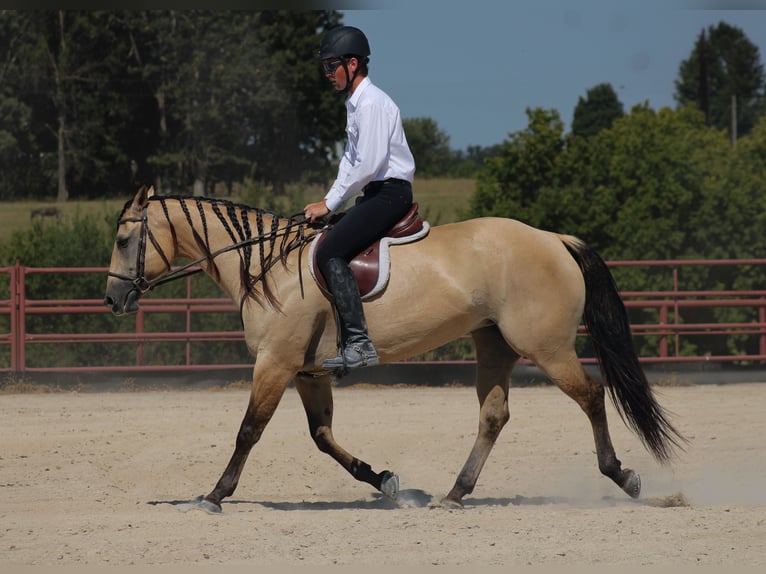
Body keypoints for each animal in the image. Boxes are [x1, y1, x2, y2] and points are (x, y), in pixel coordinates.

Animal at [104, 185, 684, 513]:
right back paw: (455, 494)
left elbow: (249, 430)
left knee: (590, 395)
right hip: (494, 343)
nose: (112, 299)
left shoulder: (275, 363)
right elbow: (322, 437)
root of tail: (553, 238)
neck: (270, 265)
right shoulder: (308, 372)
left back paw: (623, 476)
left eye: (125, 241)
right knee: (494, 415)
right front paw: (386, 482)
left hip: (545, 346)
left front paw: (214, 496)